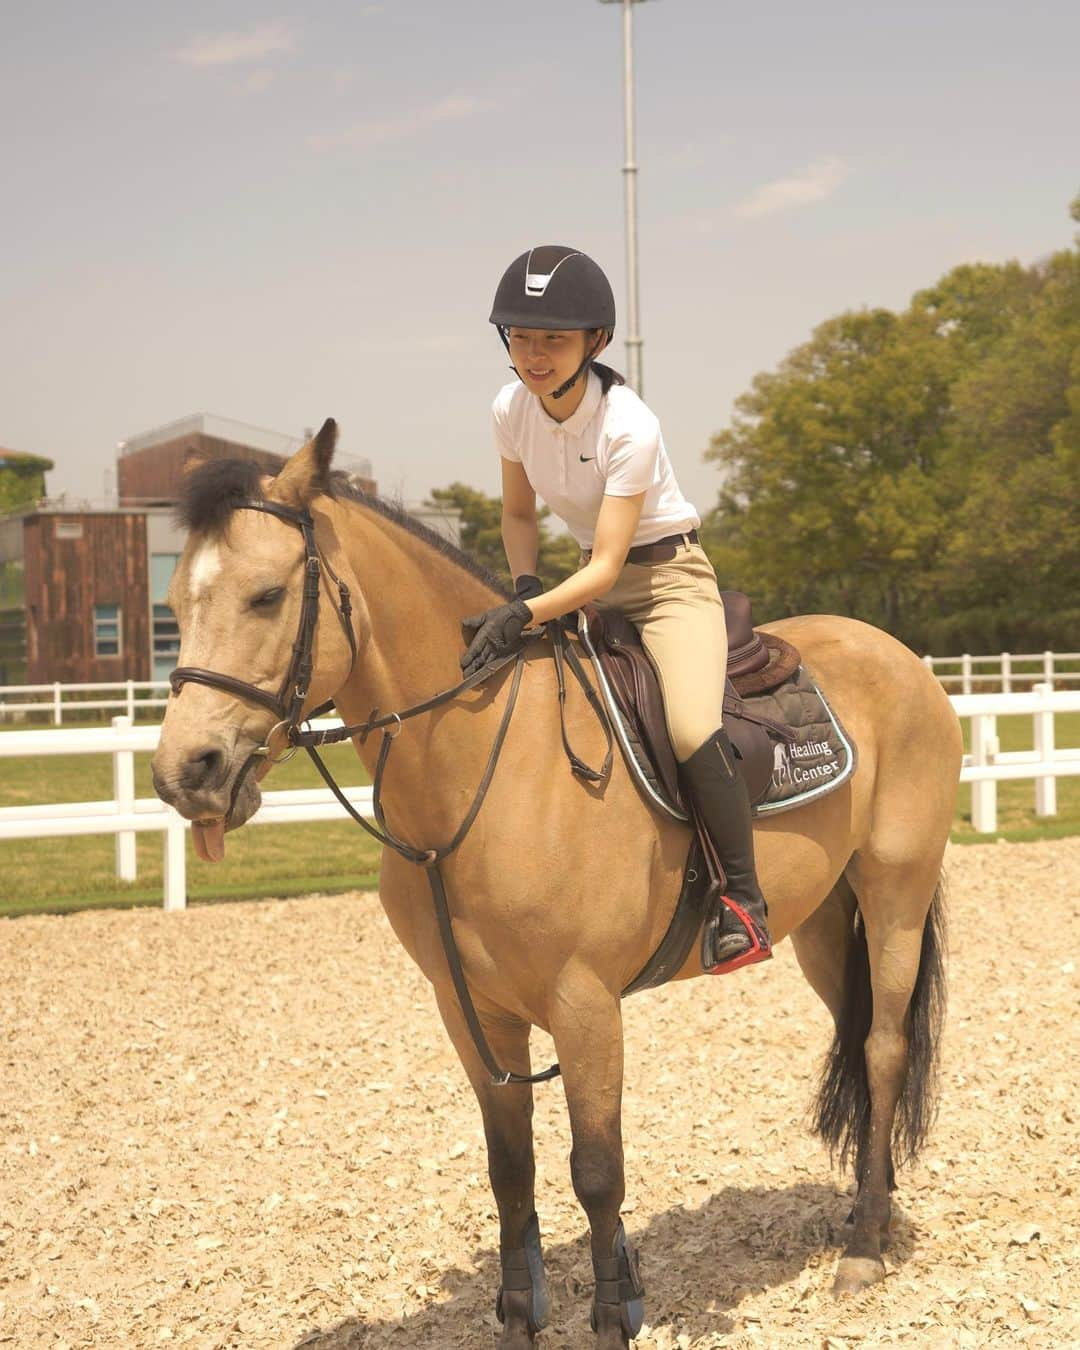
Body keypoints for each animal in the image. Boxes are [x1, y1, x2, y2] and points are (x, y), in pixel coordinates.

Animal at [151, 423, 961, 1350]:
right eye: (174, 603)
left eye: (266, 596)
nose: (186, 772)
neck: (482, 771)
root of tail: (898, 655)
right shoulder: (471, 1011)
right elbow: (511, 1169)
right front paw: (517, 1320)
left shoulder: (585, 1005)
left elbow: (596, 1170)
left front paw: (613, 1317)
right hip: (825, 921)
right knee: (859, 1041)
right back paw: (870, 1212)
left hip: (895, 897)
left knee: (885, 1048)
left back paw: (863, 1249)